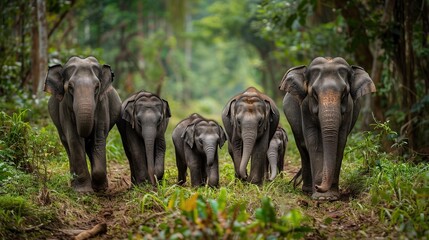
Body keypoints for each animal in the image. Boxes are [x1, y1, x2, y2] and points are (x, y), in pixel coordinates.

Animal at [44, 56, 120, 193]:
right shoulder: (65, 109)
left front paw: (100, 188)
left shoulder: (102, 105)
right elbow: (74, 139)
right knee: (67, 145)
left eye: (97, 87)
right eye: (70, 87)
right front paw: (83, 191)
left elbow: (98, 138)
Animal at [278, 56, 374, 201]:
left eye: (345, 93)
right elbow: (314, 142)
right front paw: (321, 197)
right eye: (314, 94)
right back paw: (307, 190)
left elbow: (340, 142)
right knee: (303, 147)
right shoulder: (305, 108)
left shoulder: (349, 110)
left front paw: (330, 196)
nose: (318, 186)